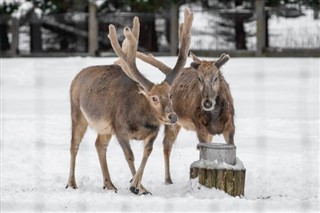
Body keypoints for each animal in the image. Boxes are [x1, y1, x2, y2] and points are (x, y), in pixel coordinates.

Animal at [65, 9, 192, 196]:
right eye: (153, 98)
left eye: (170, 95)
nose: (172, 116)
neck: (139, 120)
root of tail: (77, 76)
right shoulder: (120, 129)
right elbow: (130, 156)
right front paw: (136, 187)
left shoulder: (152, 132)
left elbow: (147, 153)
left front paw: (139, 185)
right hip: (77, 112)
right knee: (74, 144)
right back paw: (71, 183)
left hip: (105, 127)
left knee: (99, 144)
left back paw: (109, 184)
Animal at [136, 52, 234, 184]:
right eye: (199, 78)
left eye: (216, 78)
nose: (207, 103)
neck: (215, 117)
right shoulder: (200, 127)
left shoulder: (230, 126)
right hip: (172, 121)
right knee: (167, 144)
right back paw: (168, 179)